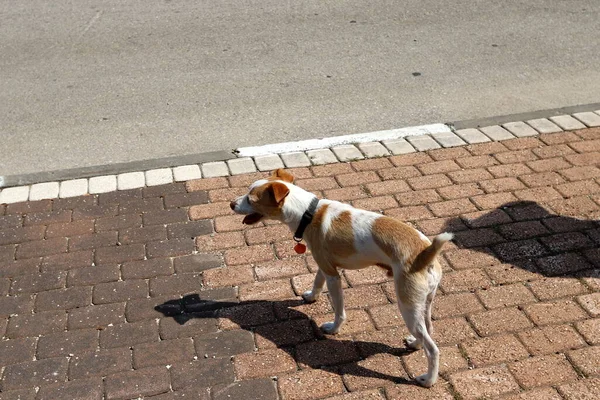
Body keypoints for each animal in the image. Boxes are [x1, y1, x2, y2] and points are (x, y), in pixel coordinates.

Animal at [230, 169, 450, 388]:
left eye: (250, 199)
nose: (231, 204)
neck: (308, 213)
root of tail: (425, 253)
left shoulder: (333, 276)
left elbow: (338, 310)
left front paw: (333, 328)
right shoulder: (324, 265)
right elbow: (316, 282)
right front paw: (311, 297)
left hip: (407, 305)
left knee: (433, 349)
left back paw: (428, 379)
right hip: (424, 302)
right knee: (428, 329)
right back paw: (415, 343)